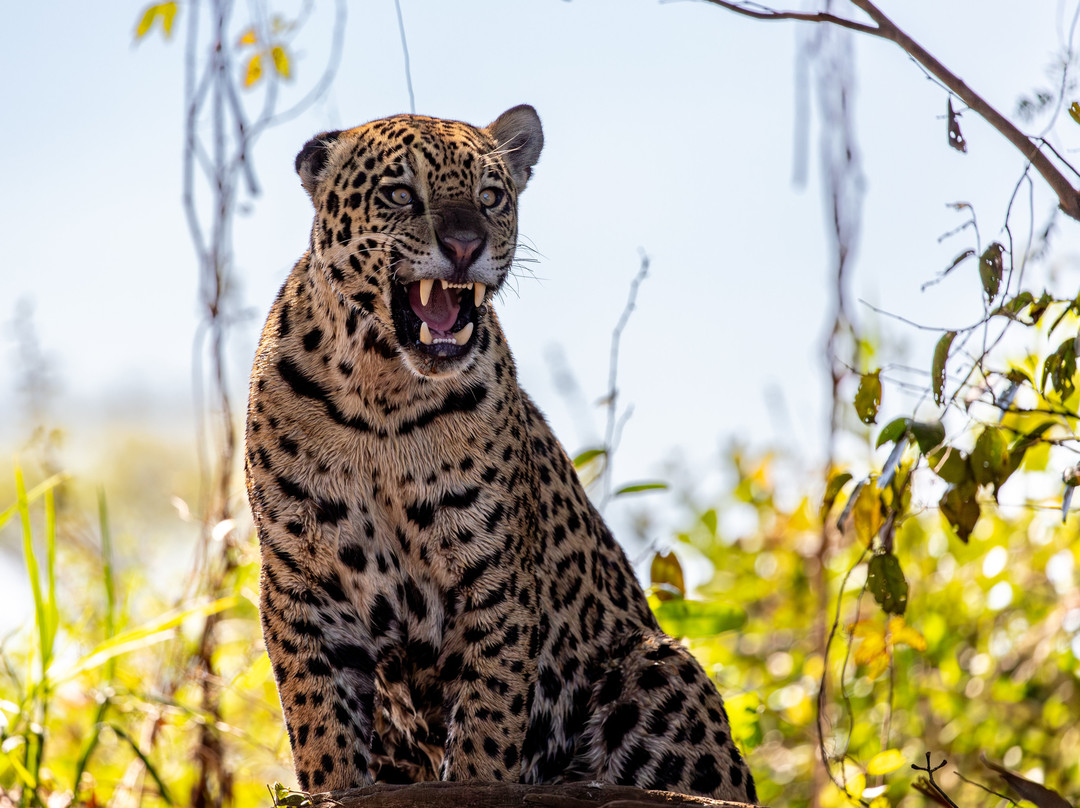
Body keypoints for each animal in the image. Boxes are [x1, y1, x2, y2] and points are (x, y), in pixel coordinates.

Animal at [244, 105, 757, 803]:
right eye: (400, 194)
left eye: (491, 197)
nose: (466, 246)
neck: (383, 396)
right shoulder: (301, 585)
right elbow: (320, 721)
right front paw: (333, 786)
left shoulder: (493, 577)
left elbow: (488, 718)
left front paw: (477, 779)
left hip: (655, 664)